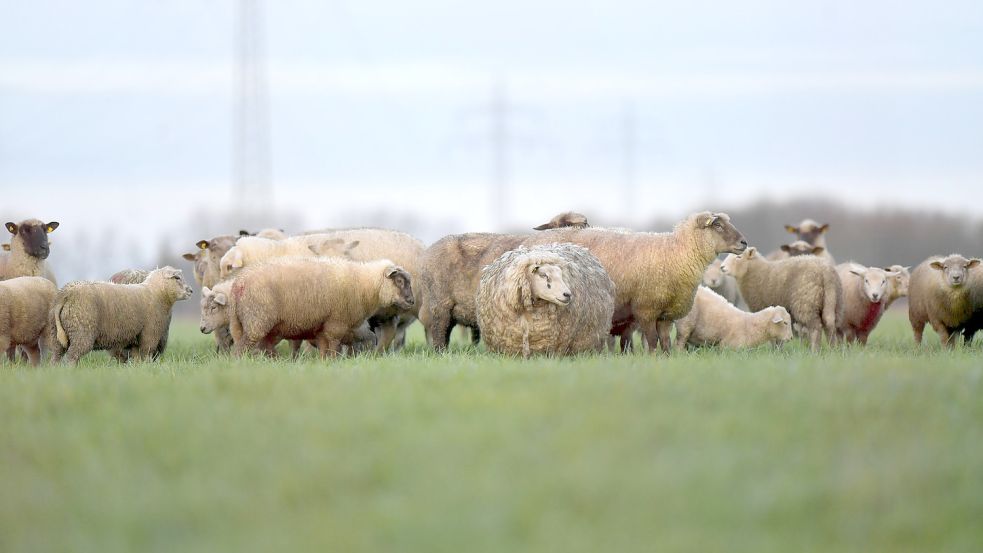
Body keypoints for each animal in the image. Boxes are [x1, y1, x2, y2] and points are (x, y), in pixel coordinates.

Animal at [49, 266, 194, 364]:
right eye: (177, 277)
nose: (191, 291)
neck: (156, 293)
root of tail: (66, 294)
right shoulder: (149, 335)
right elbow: (146, 356)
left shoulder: (135, 340)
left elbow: (137, 359)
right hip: (81, 332)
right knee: (72, 357)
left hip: (56, 334)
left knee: (56, 356)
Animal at [229, 256, 414, 356]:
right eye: (399, 281)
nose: (412, 301)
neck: (365, 285)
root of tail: (239, 283)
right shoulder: (336, 324)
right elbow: (333, 347)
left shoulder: (323, 327)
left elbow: (325, 350)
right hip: (257, 319)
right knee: (242, 348)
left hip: (242, 324)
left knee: (260, 346)